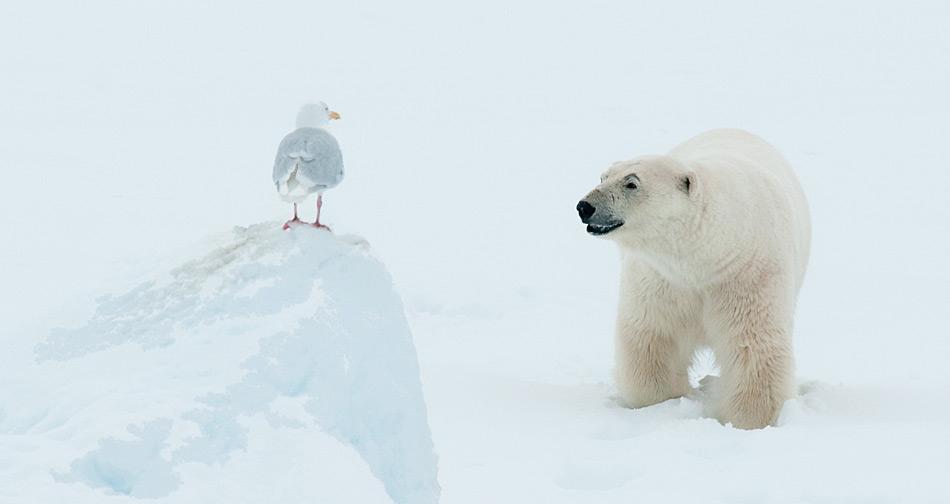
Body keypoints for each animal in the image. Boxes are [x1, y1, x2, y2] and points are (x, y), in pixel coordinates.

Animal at [580, 130, 812, 430]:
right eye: (603, 176)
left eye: (631, 183)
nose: (584, 206)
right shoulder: (660, 278)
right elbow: (653, 333)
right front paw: (659, 403)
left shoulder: (749, 274)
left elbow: (753, 345)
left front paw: (749, 419)